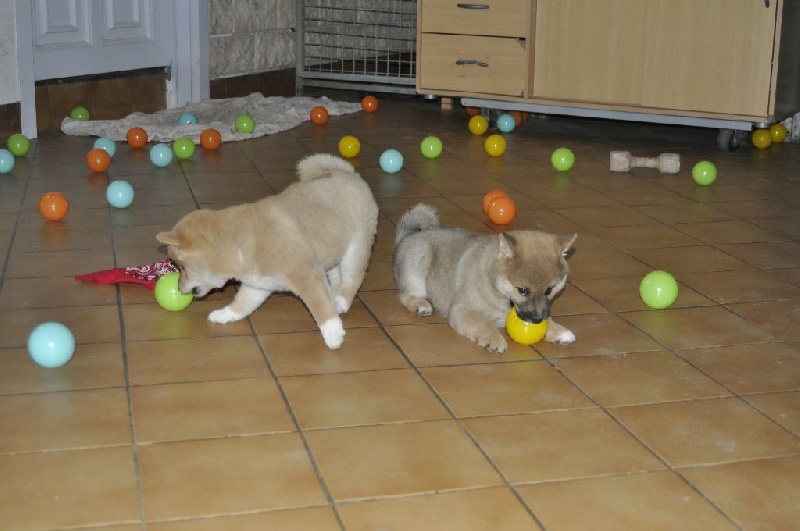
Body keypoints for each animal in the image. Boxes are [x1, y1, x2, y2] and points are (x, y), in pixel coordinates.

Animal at [156, 153, 378, 350]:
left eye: (182, 267)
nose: (179, 287)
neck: (238, 243)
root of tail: (346, 172)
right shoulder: (258, 284)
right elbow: (242, 304)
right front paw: (225, 314)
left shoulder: (306, 274)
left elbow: (321, 308)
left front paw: (333, 334)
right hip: (330, 252)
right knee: (336, 277)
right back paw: (334, 294)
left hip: (354, 250)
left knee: (352, 278)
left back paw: (340, 301)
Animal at [393, 203, 576, 353]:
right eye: (522, 290)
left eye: (549, 290)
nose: (537, 320)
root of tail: (407, 236)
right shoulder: (464, 312)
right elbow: (484, 324)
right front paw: (494, 339)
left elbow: (548, 318)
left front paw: (559, 331)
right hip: (418, 266)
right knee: (405, 295)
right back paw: (420, 304)